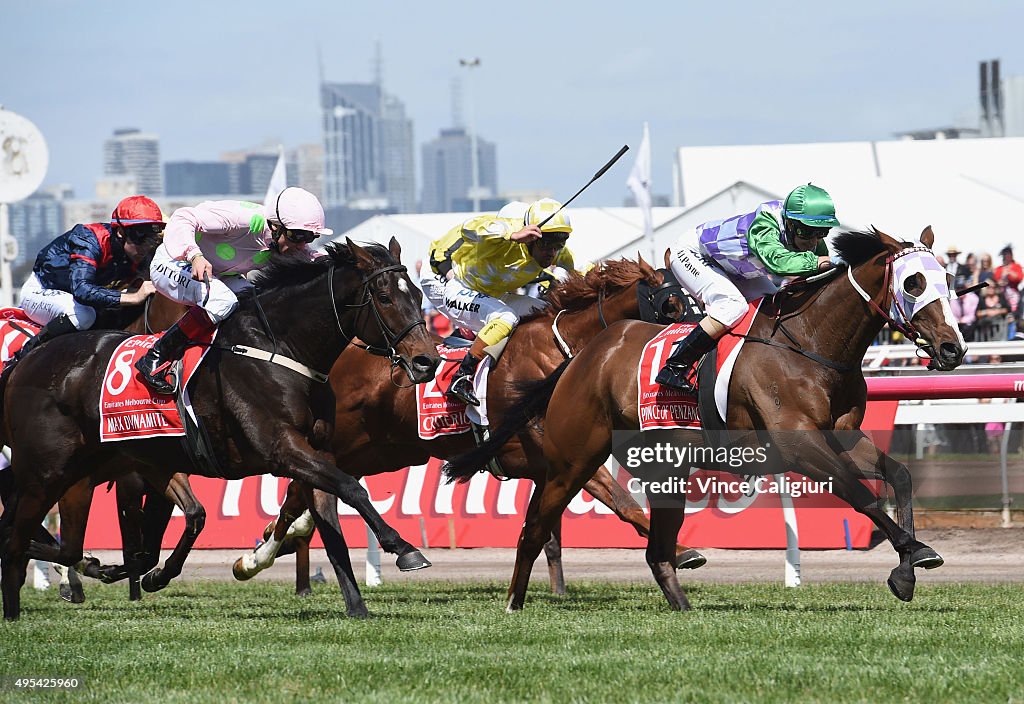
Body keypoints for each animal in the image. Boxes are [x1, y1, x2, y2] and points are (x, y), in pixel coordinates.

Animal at [0, 239, 436, 618]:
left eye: (417, 295)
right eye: (384, 297)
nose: (427, 361)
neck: (279, 348)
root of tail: (27, 359)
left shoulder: (317, 452)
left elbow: (333, 528)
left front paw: (357, 606)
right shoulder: (282, 449)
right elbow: (352, 487)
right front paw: (404, 548)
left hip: (110, 465)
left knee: (52, 542)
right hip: (49, 471)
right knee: (21, 536)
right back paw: (17, 608)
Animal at [448, 227, 966, 609]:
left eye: (946, 279)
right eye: (913, 283)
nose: (951, 348)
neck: (808, 342)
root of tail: (581, 359)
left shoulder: (842, 436)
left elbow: (898, 476)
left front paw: (906, 569)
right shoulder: (799, 443)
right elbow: (862, 495)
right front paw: (916, 553)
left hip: (662, 467)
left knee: (655, 548)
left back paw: (682, 606)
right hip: (571, 461)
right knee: (536, 526)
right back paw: (514, 603)